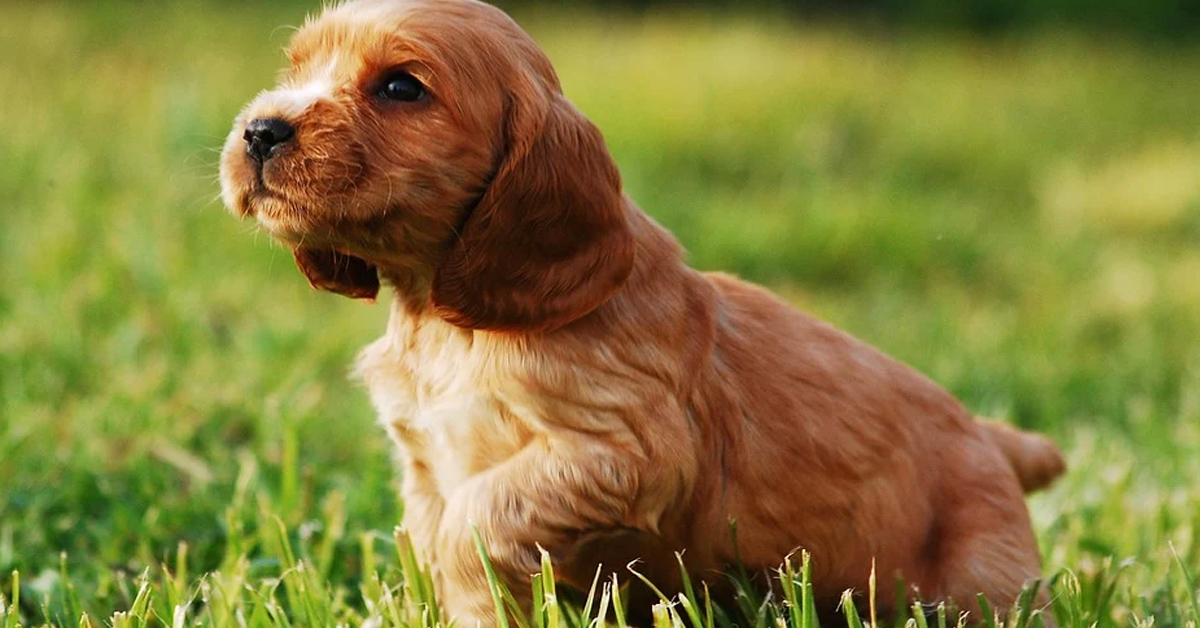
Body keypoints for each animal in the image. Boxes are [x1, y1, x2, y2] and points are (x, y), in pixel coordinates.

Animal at [220, 2, 1065, 624]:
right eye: (296, 69)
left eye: (401, 88)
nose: (259, 130)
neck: (445, 322)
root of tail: (995, 440)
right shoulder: (427, 464)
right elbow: (435, 539)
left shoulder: (628, 450)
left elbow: (474, 525)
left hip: (981, 587)